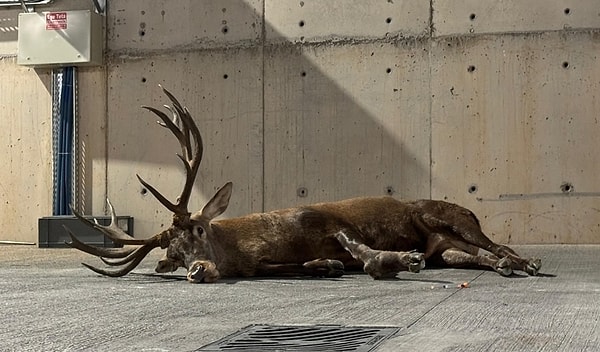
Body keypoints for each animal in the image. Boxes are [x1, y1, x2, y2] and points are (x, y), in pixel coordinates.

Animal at [65, 88, 540, 284]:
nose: (197, 270)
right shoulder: (268, 261)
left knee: (495, 243)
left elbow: (357, 249)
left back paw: (527, 261)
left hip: (449, 217)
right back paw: (503, 266)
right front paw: (324, 266)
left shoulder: (326, 220)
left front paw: (392, 259)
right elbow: (298, 265)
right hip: (447, 247)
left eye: (199, 230)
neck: (257, 243)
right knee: (475, 255)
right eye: (175, 256)